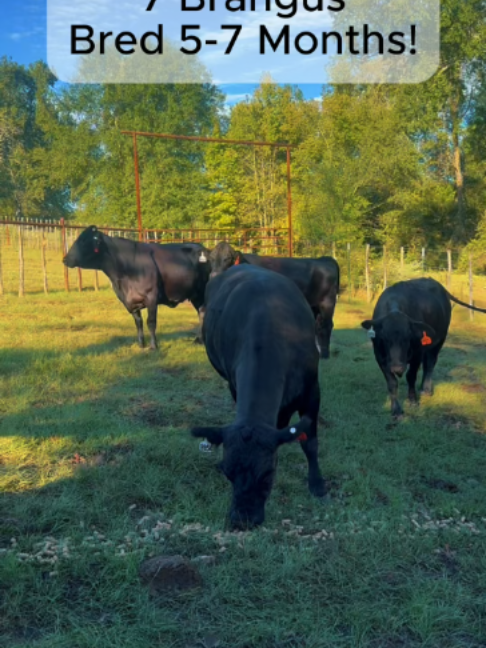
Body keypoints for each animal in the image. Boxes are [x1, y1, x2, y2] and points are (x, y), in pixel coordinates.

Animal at [63, 226, 210, 349]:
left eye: (83, 241)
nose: (65, 259)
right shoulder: (129, 301)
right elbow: (138, 322)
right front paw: (141, 344)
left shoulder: (151, 297)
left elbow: (151, 322)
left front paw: (153, 346)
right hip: (195, 295)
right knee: (201, 312)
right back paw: (199, 340)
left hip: (202, 291)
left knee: (203, 312)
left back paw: (201, 340)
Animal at [191, 264, 325, 529]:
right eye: (227, 472)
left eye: (267, 474)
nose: (242, 521)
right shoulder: (234, 383)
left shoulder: (312, 392)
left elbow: (310, 443)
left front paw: (317, 485)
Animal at [208, 241, 340, 360]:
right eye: (211, 258)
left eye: (227, 258)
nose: (214, 275)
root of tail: (324, 259)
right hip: (314, 305)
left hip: (327, 302)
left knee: (326, 325)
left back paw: (324, 355)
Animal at [361, 277, 486, 418]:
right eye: (384, 337)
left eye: (408, 336)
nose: (397, 368)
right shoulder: (380, 357)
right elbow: (392, 382)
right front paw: (396, 409)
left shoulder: (417, 354)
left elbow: (411, 376)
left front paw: (413, 401)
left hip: (439, 340)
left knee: (430, 364)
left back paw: (426, 390)